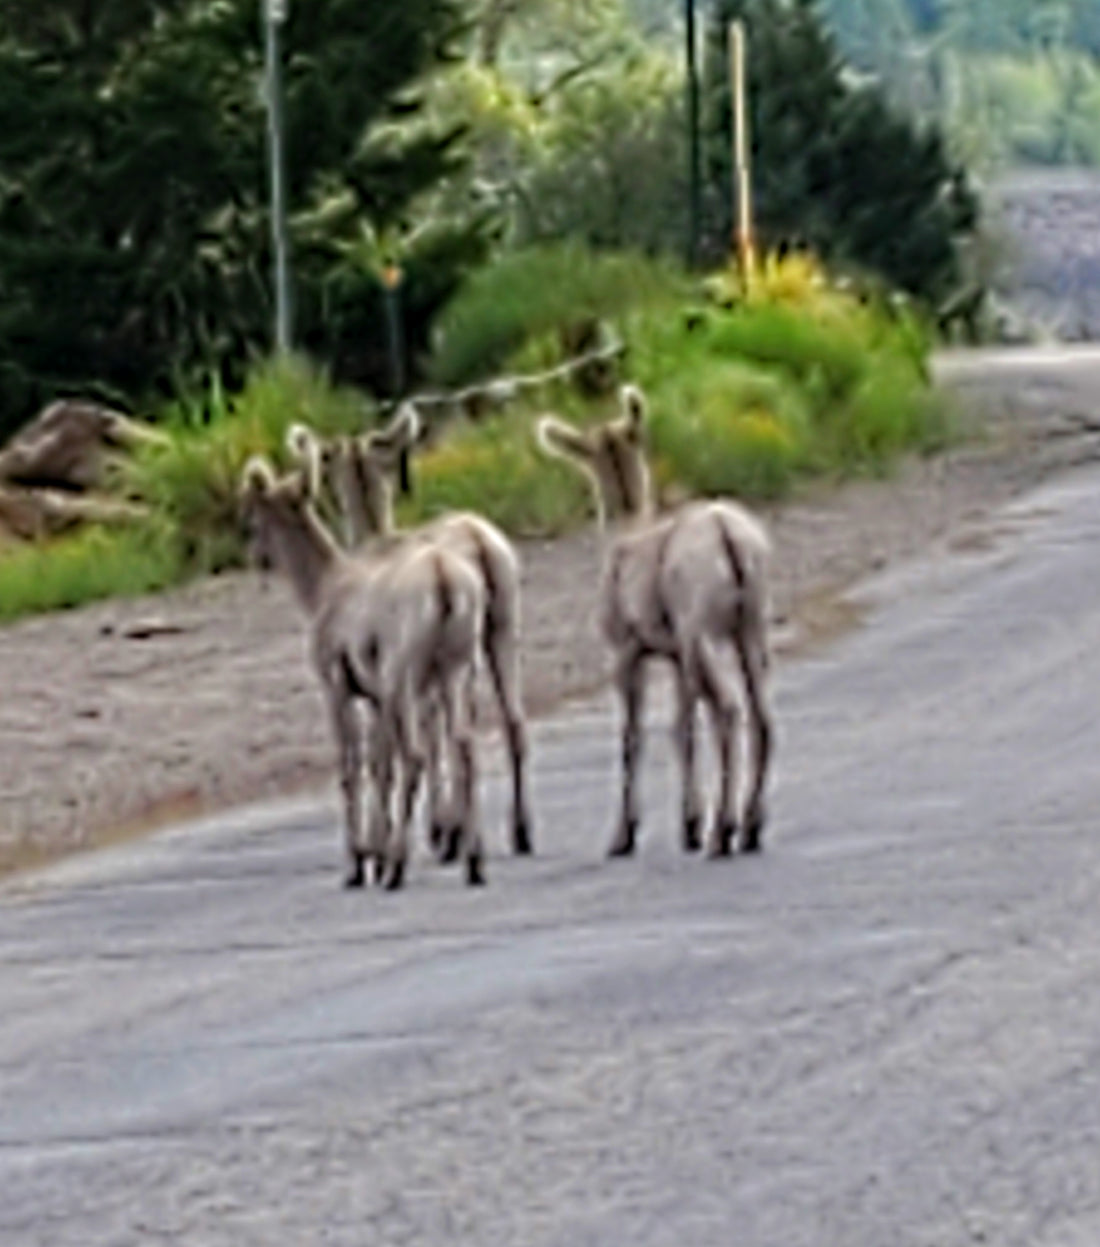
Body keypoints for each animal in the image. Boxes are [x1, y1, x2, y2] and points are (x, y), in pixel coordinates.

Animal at [239, 453, 483, 892]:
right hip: (453, 673)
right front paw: (376, 854)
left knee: (416, 757)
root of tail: (441, 576)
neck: (325, 588)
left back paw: (397, 869)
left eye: (251, 516)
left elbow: (352, 768)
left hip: (406, 684)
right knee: (463, 748)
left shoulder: (339, 689)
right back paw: (472, 862)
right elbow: (380, 767)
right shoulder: (377, 699)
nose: (256, 558)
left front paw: (359, 863)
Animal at [533, 384, 773, 862]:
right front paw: (688, 825)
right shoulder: (676, 656)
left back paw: (724, 832)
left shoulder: (628, 649)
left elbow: (632, 737)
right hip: (748, 628)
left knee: (729, 711)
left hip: (701, 633)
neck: (624, 533)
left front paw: (623, 836)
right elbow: (681, 729)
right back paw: (750, 828)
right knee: (761, 718)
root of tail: (730, 540)